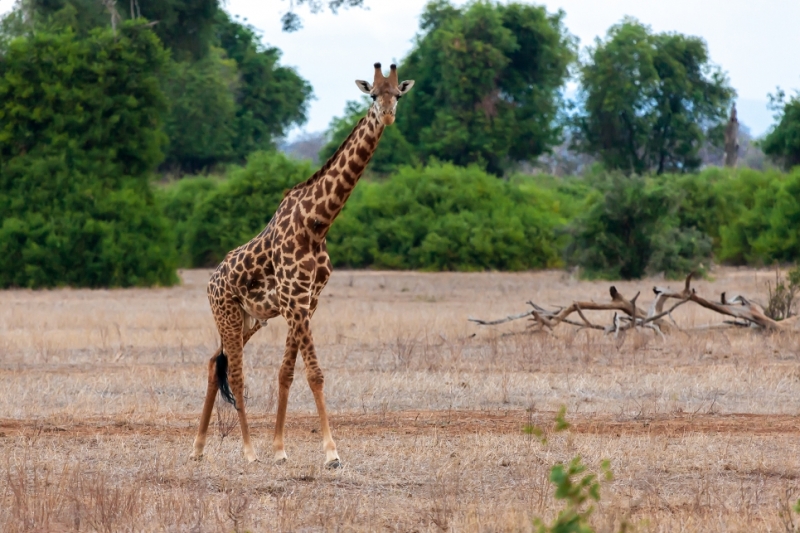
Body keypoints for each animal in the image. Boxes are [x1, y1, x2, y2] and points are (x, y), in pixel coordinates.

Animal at [191, 62, 416, 466]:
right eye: (373, 94)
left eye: (398, 94)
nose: (387, 115)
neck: (319, 222)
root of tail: (210, 282)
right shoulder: (295, 301)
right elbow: (314, 374)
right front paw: (331, 453)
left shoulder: (308, 302)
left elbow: (287, 372)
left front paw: (280, 449)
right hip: (227, 314)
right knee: (236, 374)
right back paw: (248, 451)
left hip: (250, 320)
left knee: (214, 362)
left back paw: (198, 448)